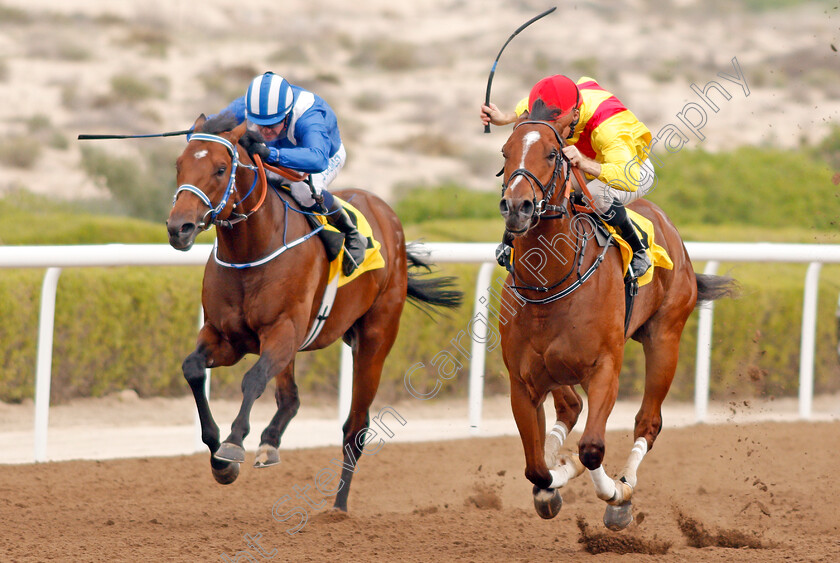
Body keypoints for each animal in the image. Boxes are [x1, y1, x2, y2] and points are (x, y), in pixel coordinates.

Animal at [167, 113, 462, 512]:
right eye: (179, 165)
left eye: (220, 168)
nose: (178, 228)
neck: (250, 251)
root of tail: (386, 213)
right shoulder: (226, 336)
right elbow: (193, 368)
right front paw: (219, 458)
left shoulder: (282, 330)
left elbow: (253, 380)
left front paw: (232, 444)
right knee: (290, 398)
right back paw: (271, 443)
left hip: (374, 339)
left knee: (355, 426)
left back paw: (338, 506)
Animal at [498, 117, 736, 532]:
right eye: (505, 152)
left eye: (552, 153)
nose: (516, 207)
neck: (550, 284)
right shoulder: (522, 381)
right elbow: (536, 468)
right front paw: (554, 481)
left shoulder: (605, 367)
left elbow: (592, 449)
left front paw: (617, 497)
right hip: (556, 369)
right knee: (571, 407)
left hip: (665, 337)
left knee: (648, 421)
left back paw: (624, 482)